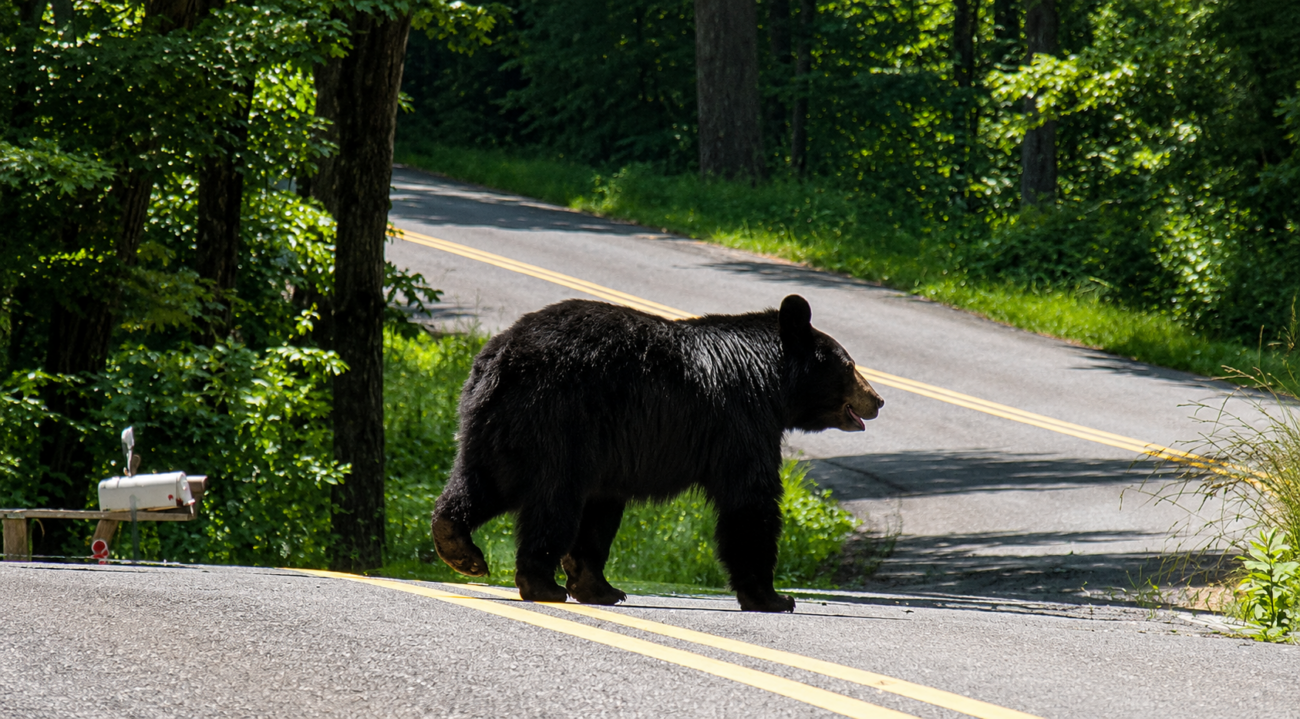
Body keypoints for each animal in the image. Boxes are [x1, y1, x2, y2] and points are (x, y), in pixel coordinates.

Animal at [431, 294, 883, 612]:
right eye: (849, 365)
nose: (877, 400)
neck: (769, 380)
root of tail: (502, 357)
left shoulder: (611, 452)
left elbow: (600, 515)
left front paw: (599, 587)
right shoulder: (740, 421)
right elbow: (750, 500)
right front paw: (772, 597)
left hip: (494, 425)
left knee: (479, 482)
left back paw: (458, 547)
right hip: (558, 421)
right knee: (554, 502)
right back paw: (540, 583)